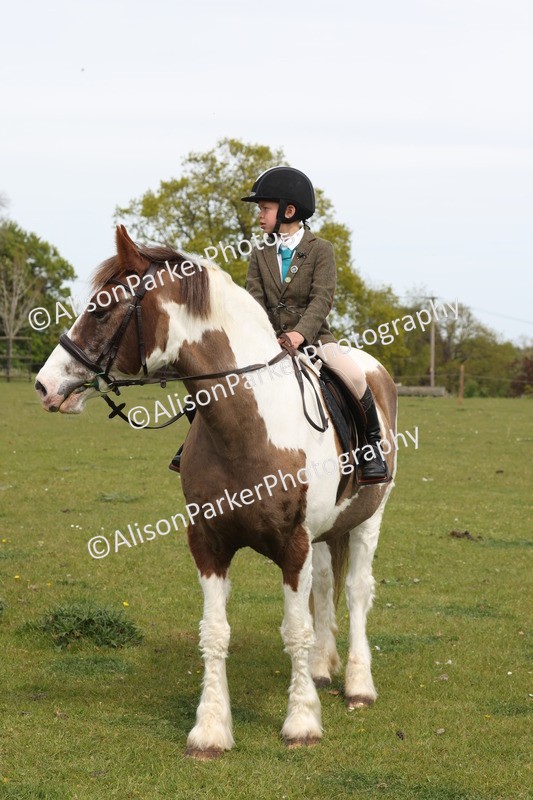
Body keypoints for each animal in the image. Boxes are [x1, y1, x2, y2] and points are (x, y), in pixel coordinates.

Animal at [35, 225, 397, 759]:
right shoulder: (208, 543)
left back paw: (358, 685)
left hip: (368, 520)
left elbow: (295, 629)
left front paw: (301, 722)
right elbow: (215, 632)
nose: (45, 386)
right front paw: (210, 729)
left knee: (355, 593)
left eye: (101, 308)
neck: (247, 424)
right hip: (326, 533)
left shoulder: (293, 545)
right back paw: (320, 670)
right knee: (326, 586)